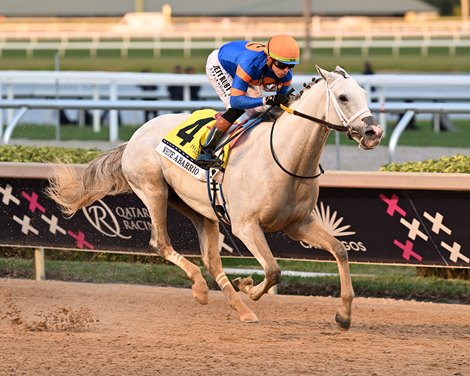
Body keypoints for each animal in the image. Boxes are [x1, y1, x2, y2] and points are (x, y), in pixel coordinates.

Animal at [47, 66, 384, 330]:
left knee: (211, 259)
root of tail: (134, 136)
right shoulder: (246, 226)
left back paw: (242, 310)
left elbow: (340, 250)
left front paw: (343, 315)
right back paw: (200, 289)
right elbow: (273, 270)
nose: (374, 132)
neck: (285, 156)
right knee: (161, 243)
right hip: (153, 190)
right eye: (343, 97)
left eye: (364, 93)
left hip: (199, 208)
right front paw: (247, 285)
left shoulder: (297, 223)